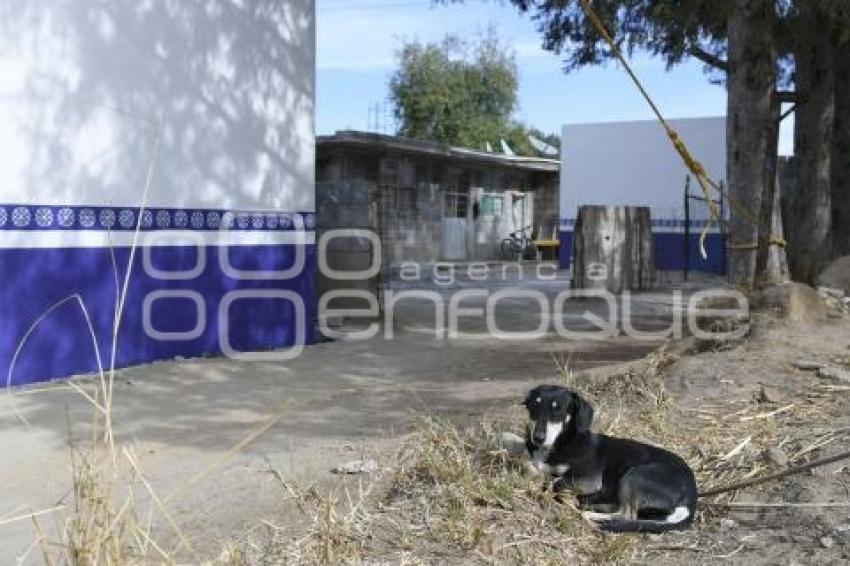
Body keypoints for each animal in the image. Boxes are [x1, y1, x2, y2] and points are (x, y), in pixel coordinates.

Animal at [504, 384, 696, 536]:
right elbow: (526, 462)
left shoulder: (589, 479)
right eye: (533, 406)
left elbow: (556, 481)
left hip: (636, 475)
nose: (537, 438)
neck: (561, 442)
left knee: (627, 514)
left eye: (557, 409)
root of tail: (690, 500)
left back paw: (590, 514)